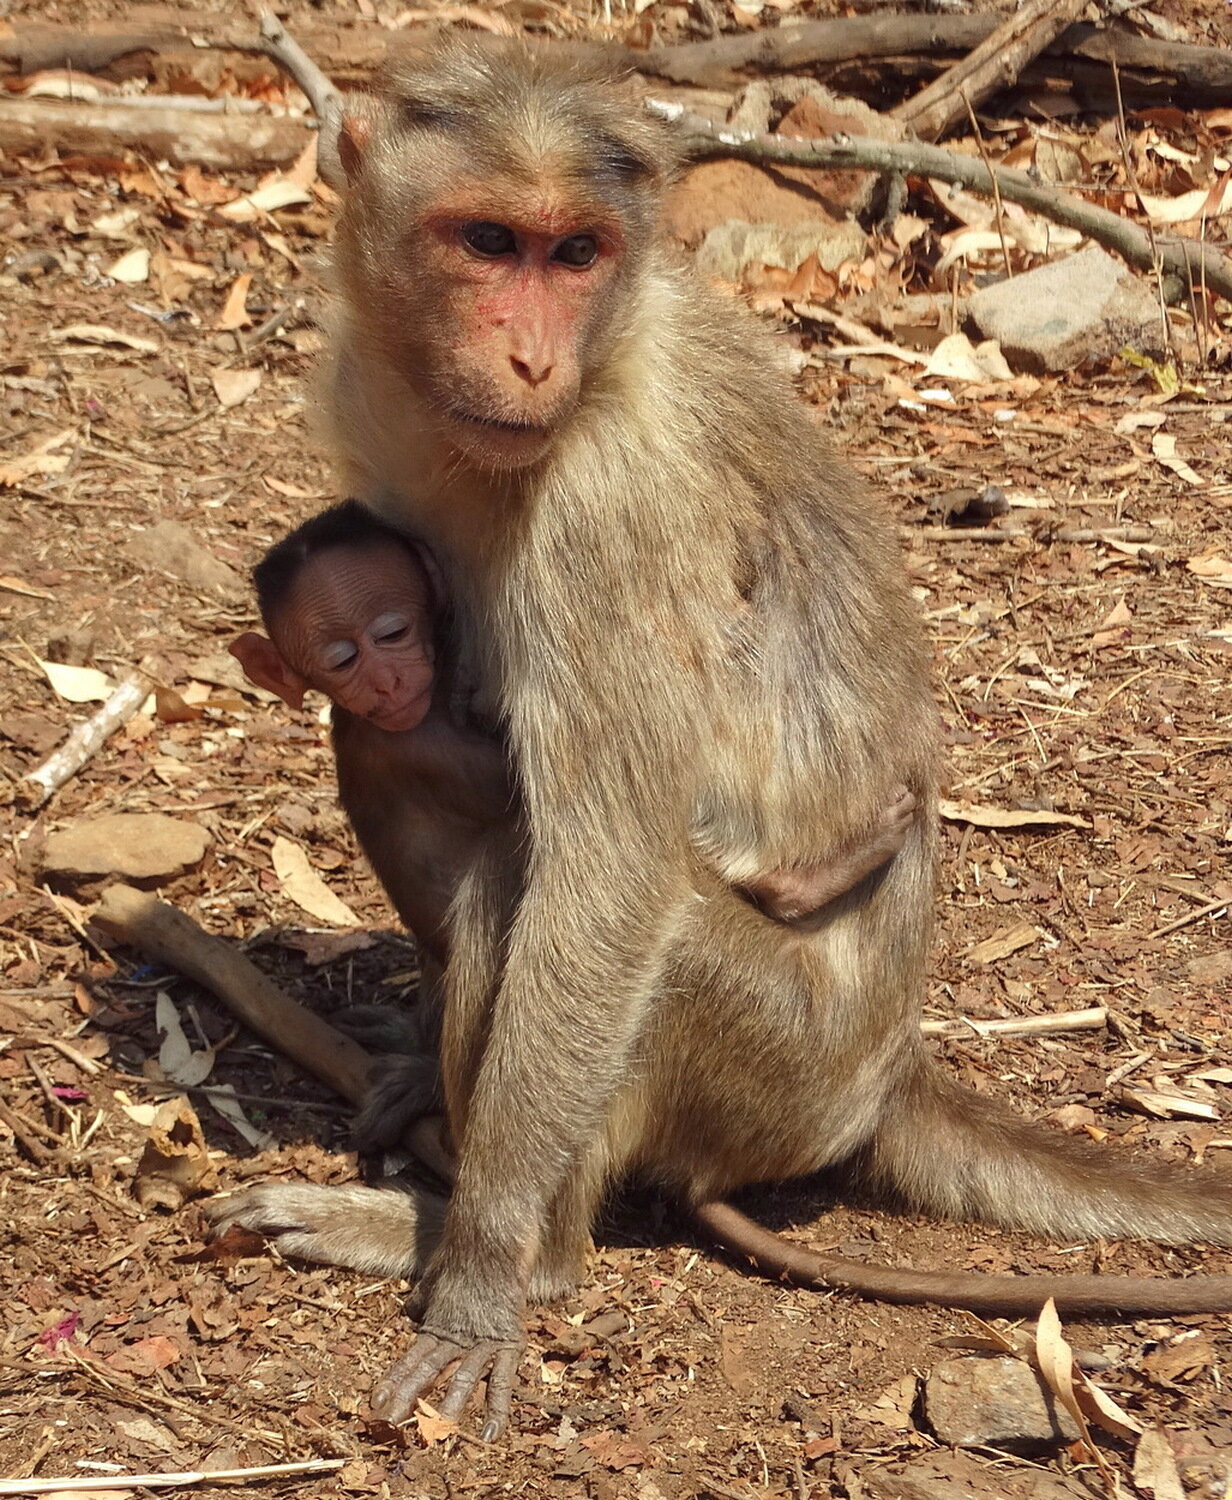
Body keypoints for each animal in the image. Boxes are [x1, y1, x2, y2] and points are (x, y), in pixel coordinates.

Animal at [207, 35, 1232, 1441]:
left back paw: (509, 1244)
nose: (530, 363)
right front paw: (414, 1067)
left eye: (574, 253)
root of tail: (885, 1073)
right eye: (488, 241)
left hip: (774, 1066)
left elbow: (604, 871)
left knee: (533, 893)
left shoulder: (608, 512)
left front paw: (478, 1277)